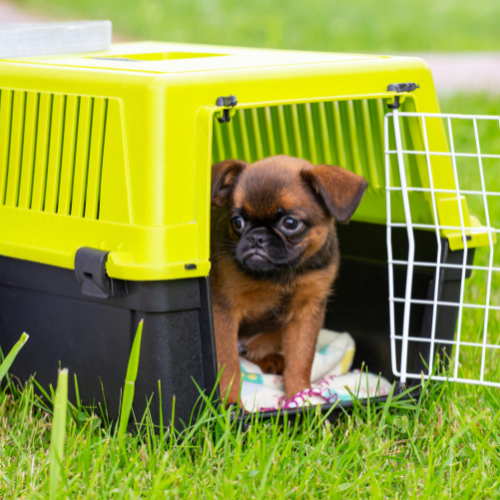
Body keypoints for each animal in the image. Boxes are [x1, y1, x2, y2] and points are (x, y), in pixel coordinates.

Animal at [209, 154, 370, 404]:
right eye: (237, 222)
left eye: (291, 223)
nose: (257, 238)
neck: (280, 275)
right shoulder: (223, 313)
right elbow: (229, 365)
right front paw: (231, 405)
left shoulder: (306, 314)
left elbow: (301, 360)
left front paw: (301, 397)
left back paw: (273, 362)